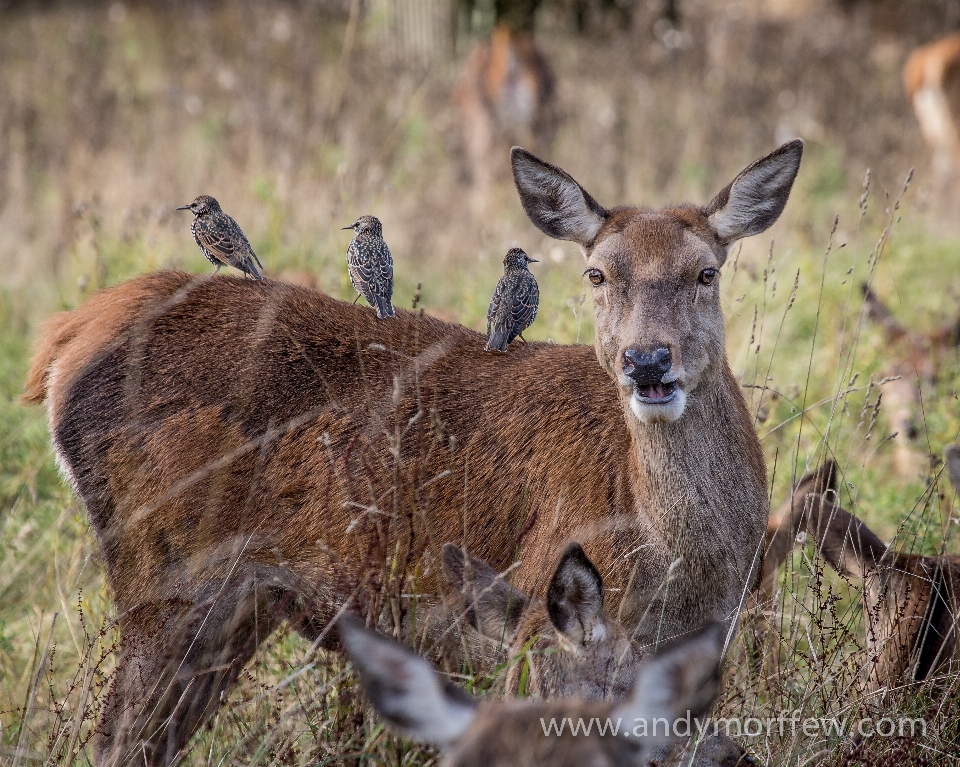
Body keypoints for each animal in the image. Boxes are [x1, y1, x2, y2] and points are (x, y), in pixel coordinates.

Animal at [22, 141, 804, 764]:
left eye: (706, 272)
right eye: (598, 274)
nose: (646, 363)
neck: (684, 567)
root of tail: (64, 338)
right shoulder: (537, 624)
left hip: (234, 606)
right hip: (169, 571)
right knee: (116, 738)